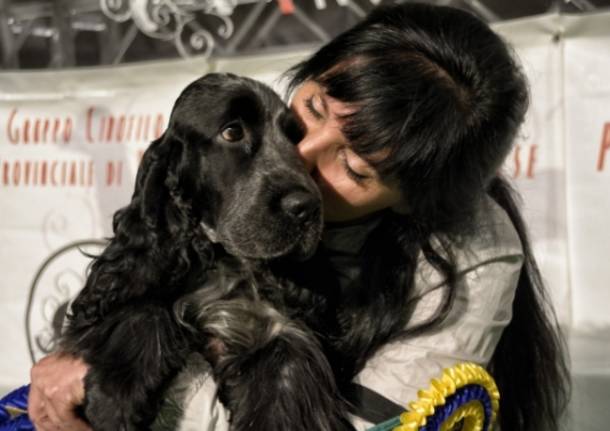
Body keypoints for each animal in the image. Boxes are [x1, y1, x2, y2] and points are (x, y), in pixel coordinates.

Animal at [61, 74, 352, 431]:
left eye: (295, 139)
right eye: (233, 132)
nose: (306, 207)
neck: (222, 257)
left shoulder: (276, 328)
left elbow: (286, 375)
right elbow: (141, 305)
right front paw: (114, 401)